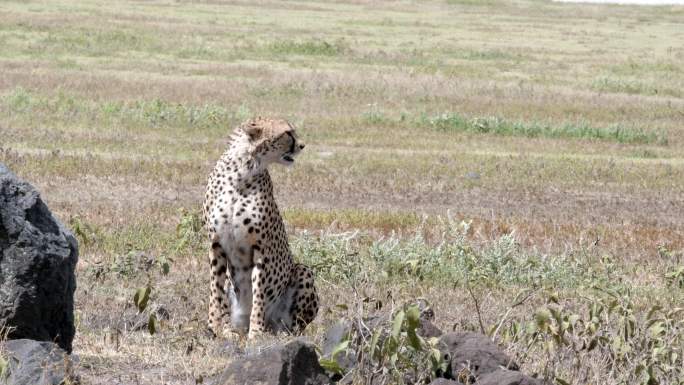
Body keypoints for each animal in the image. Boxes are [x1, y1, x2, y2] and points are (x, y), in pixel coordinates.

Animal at [204, 116, 320, 336]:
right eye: (287, 133)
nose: (302, 145)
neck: (242, 171)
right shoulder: (216, 244)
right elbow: (216, 290)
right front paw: (217, 327)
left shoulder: (261, 248)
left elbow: (259, 293)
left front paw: (256, 332)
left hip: (303, 272)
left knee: (292, 324)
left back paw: (278, 332)